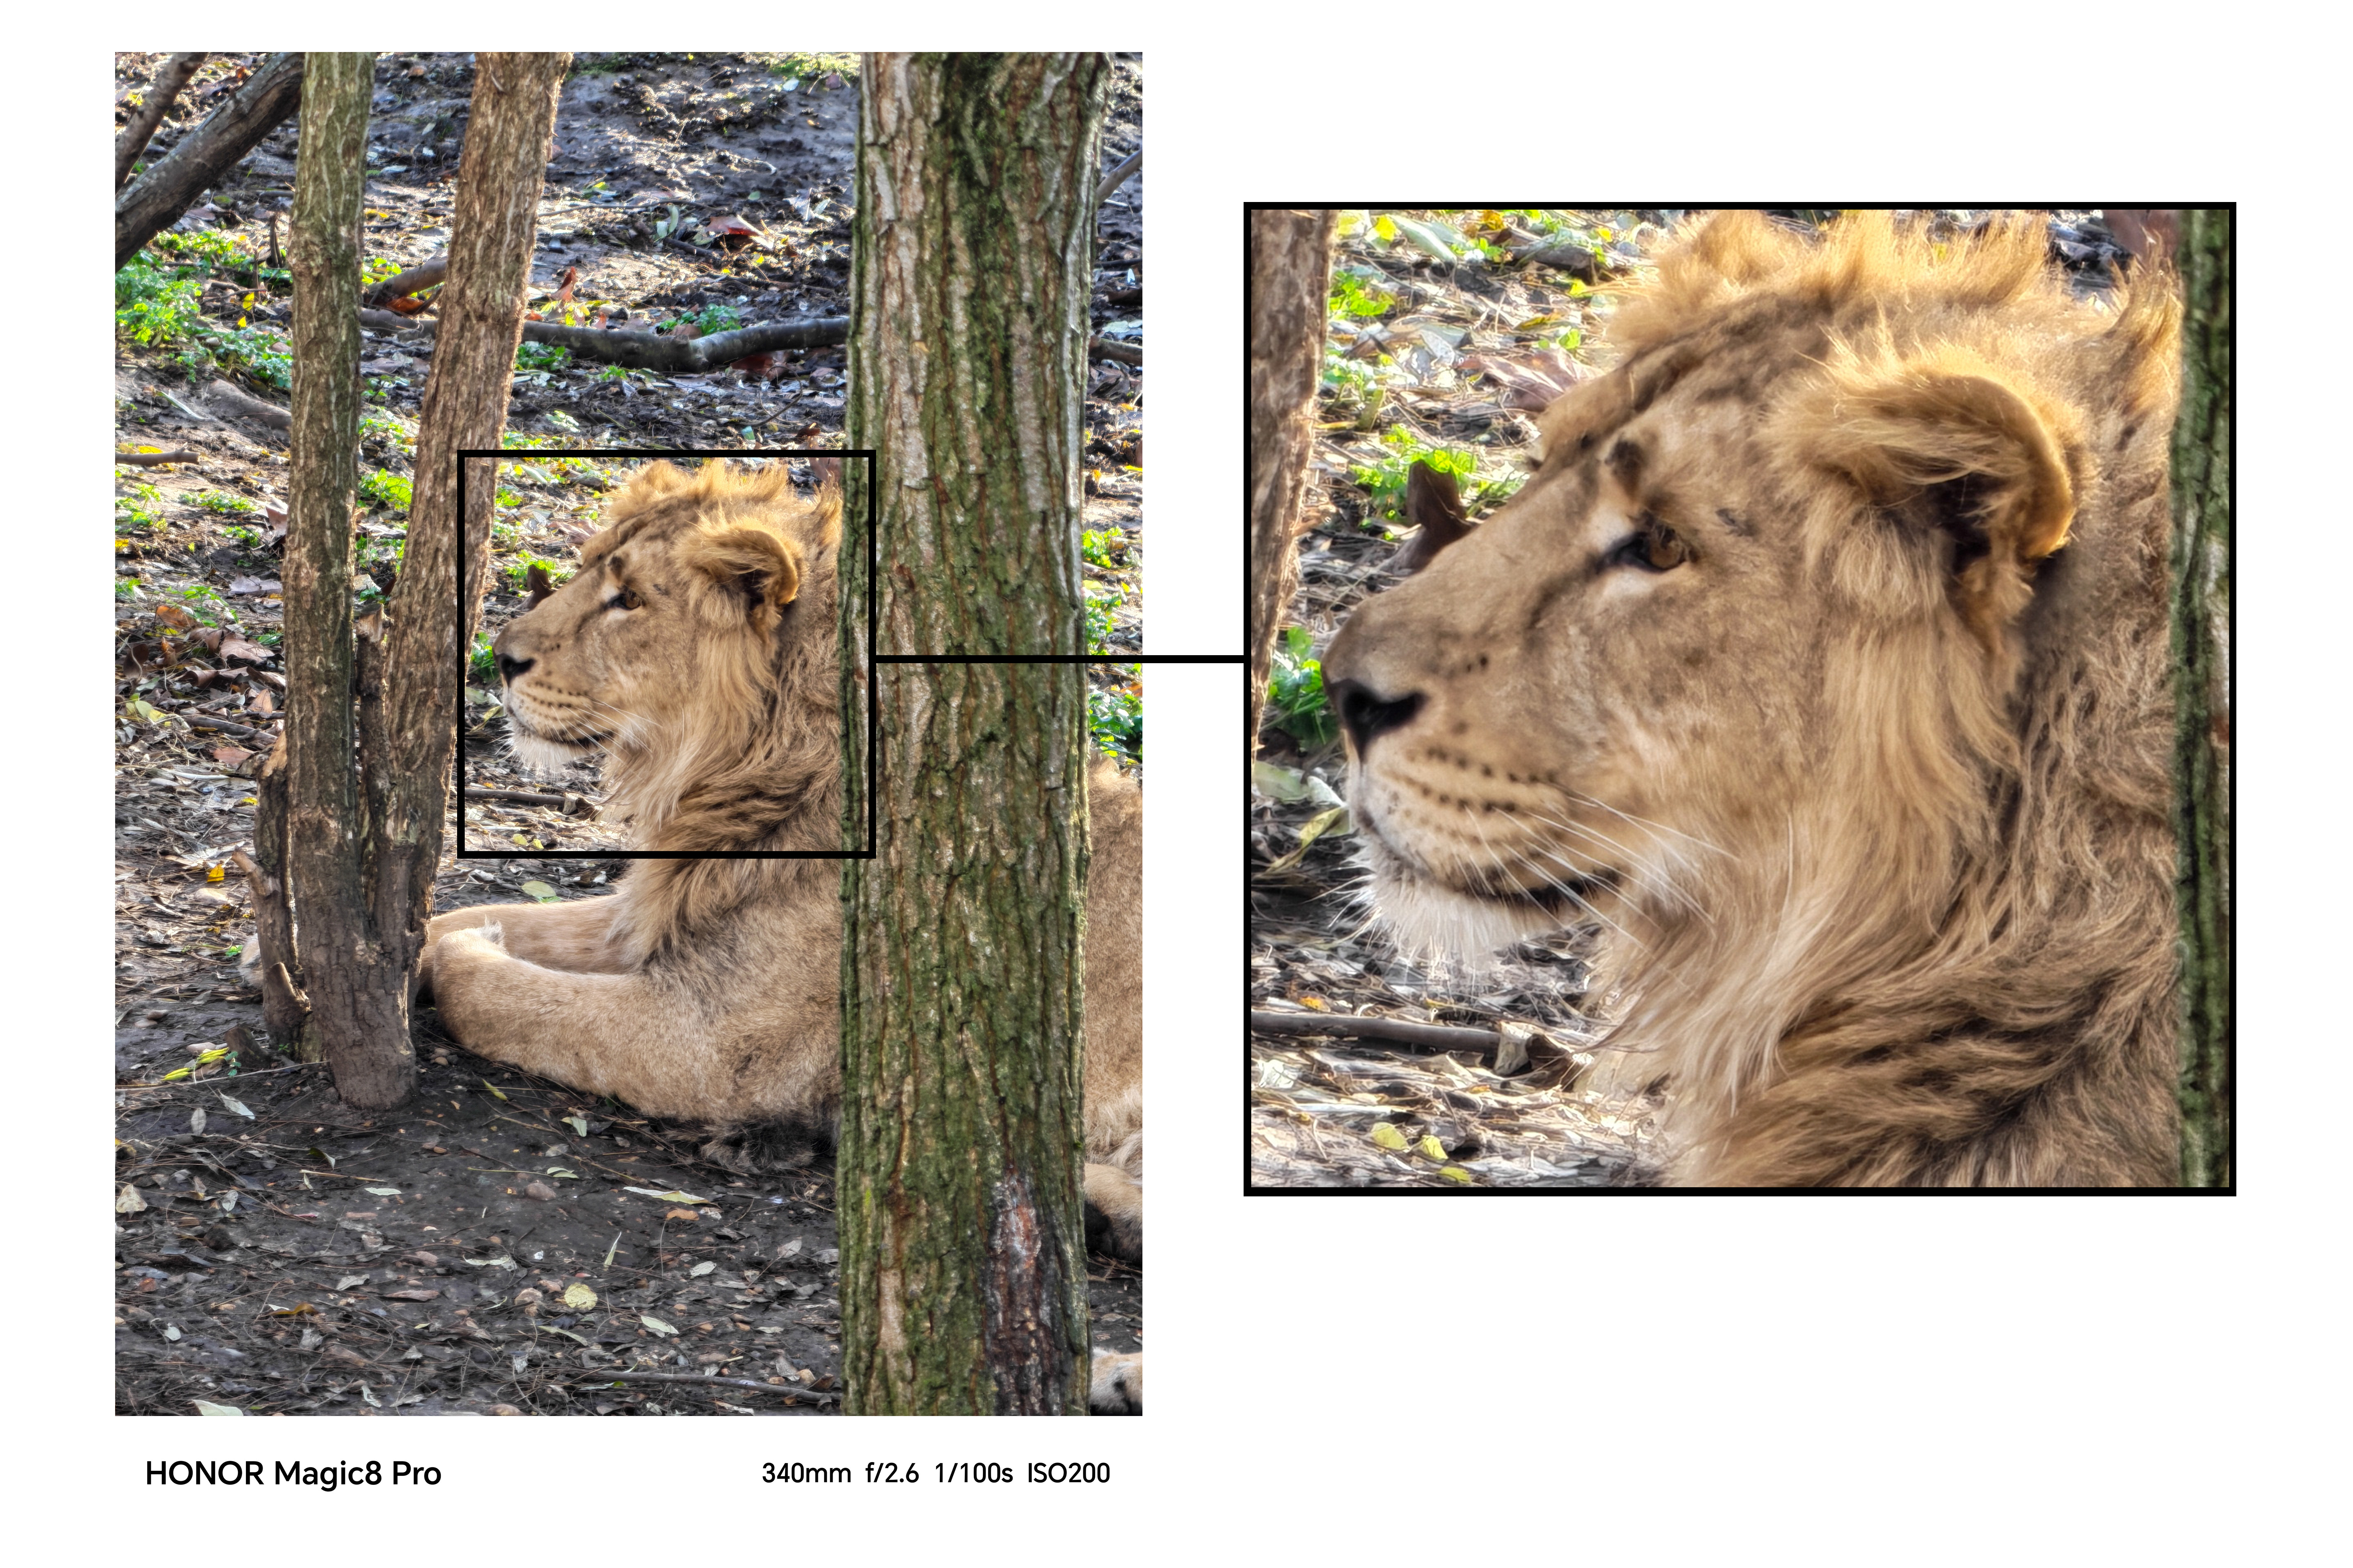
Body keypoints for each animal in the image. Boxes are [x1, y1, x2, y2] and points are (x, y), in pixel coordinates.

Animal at [416, 458, 1145, 1407]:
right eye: (583, 571)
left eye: (628, 599)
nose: (501, 659)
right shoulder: (651, 921)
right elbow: (466, 916)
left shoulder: (708, 1041)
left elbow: (491, 984)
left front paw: (452, 958)